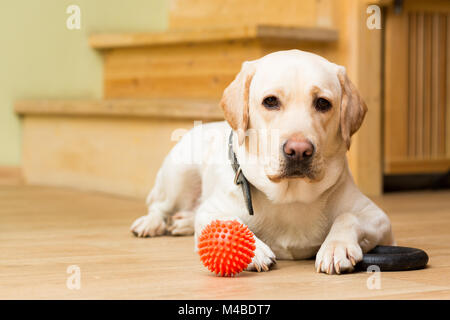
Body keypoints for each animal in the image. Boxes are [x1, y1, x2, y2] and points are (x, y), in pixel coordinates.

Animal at [130, 48, 394, 274]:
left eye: (323, 103)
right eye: (270, 101)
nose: (299, 151)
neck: (290, 197)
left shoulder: (378, 218)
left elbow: (347, 217)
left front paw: (336, 247)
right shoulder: (211, 209)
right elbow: (227, 220)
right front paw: (252, 250)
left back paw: (181, 222)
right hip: (179, 175)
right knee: (159, 206)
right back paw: (151, 224)